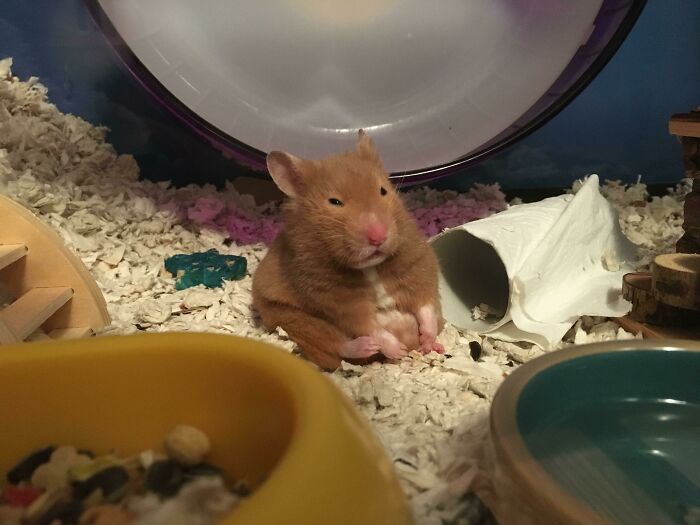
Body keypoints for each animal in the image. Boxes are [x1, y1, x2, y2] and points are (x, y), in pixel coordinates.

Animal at [253, 129, 442, 370]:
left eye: (383, 190)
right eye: (334, 201)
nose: (378, 237)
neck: (370, 267)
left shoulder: (418, 265)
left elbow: (425, 305)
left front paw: (428, 341)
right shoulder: (336, 299)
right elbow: (368, 325)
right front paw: (395, 349)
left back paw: (432, 347)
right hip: (291, 318)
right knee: (336, 345)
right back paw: (374, 347)